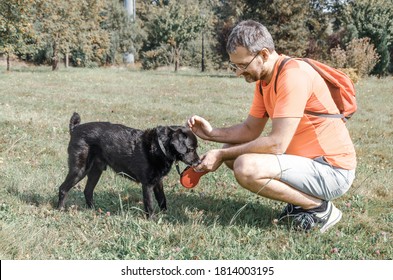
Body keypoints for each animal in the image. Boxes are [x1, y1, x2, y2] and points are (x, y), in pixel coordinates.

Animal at [56, 112, 201, 218]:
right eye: (191, 149)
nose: (199, 162)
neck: (159, 146)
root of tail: (75, 128)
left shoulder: (158, 182)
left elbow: (162, 199)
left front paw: (165, 215)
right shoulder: (147, 184)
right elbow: (149, 204)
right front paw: (152, 220)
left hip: (95, 171)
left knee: (87, 191)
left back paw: (93, 210)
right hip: (80, 169)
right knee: (63, 188)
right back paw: (60, 210)